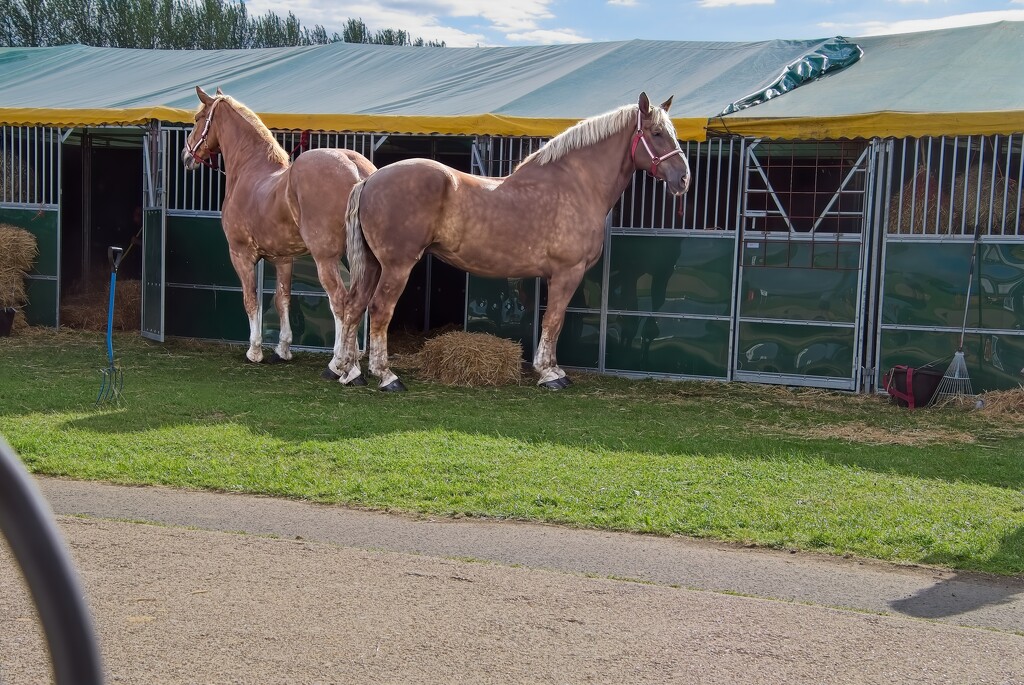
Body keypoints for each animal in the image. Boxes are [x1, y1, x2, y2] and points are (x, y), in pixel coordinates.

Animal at [183, 85, 376, 378]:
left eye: (197, 119)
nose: (186, 157)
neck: (250, 171)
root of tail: (355, 169)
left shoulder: (240, 254)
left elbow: (251, 299)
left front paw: (254, 351)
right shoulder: (284, 258)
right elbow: (282, 299)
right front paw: (283, 349)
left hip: (327, 259)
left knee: (340, 302)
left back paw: (339, 364)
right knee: (360, 302)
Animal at [339, 92, 692, 389]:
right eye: (657, 133)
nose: (684, 179)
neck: (576, 185)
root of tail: (370, 180)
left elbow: (553, 321)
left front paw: (552, 369)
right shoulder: (568, 272)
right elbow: (554, 320)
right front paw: (550, 374)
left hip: (373, 264)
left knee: (353, 306)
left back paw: (349, 371)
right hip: (396, 265)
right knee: (379, 310)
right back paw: (386, 377)